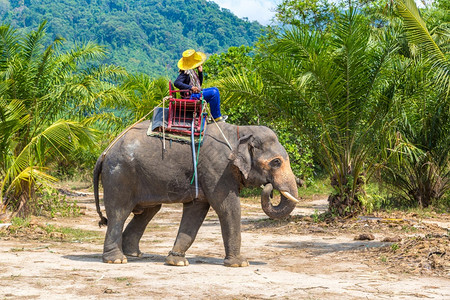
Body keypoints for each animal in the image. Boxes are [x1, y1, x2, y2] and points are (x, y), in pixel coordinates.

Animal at [94, 120, 298, 268]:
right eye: (276, 162)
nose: (269, 188)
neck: (240, 131)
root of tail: (104, 152)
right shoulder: (217, 169)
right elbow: (228, 207)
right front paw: (240, 264)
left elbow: (196, 211)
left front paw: (176, 262)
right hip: (120, 174)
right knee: (119, 212)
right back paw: (117, 260)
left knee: (148, 211)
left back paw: (134, 254)